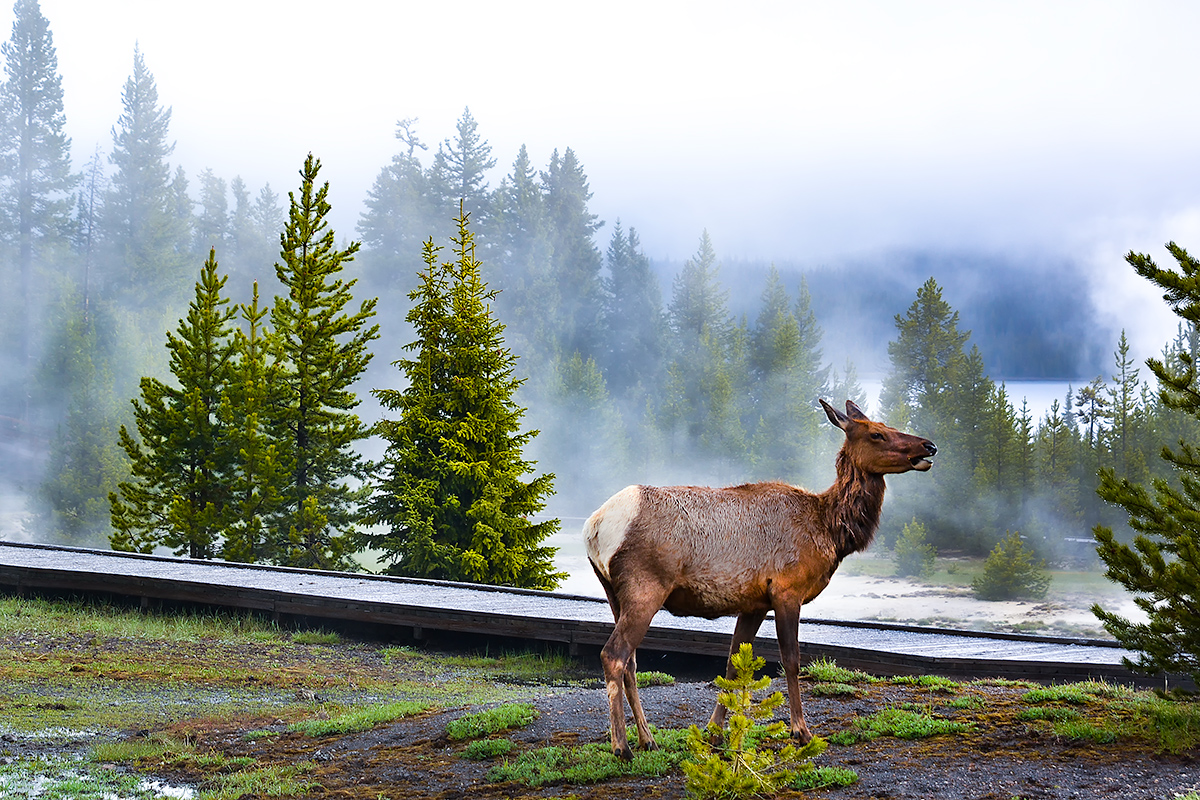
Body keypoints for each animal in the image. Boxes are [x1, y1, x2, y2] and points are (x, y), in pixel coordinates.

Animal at [583, 400, 936, 762]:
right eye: (877, 433)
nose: (929, 446)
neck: (829, 532)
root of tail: (594, 527)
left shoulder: (753, 603)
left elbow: (732, 665)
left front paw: (715, 734)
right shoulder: (786, 590)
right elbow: (791, 660)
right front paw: (801, 732)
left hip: (613, 592)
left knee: (630, 661)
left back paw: (648, 739)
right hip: (646, 587)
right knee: (614, 654)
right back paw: (621, 745)